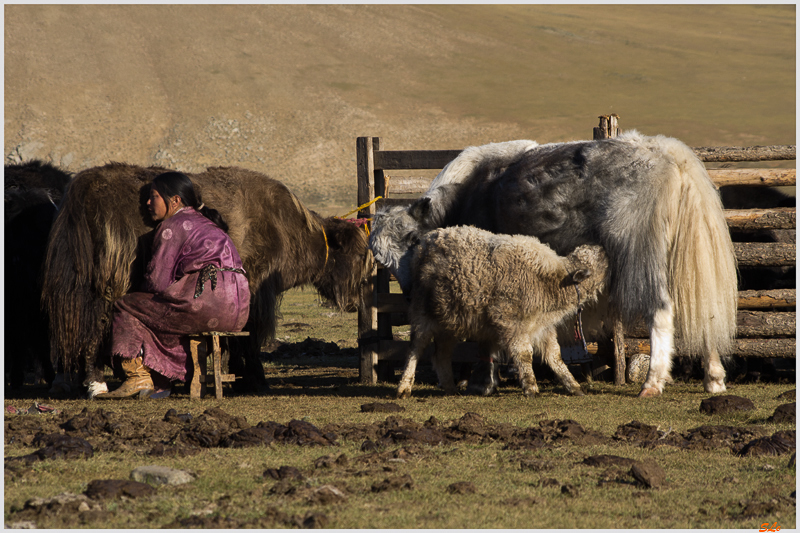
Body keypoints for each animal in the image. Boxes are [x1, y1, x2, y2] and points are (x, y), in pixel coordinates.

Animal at [396, 227, 608, 396]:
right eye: (595, 258)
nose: (604, 249)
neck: (549, 280)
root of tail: (427, 240)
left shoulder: (543, 327)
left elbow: (555, 356)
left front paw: (573, 386)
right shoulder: (511, 323)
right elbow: (525, 354)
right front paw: (531, 387)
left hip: (450, 322)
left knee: (441, 355)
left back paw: (449, 388)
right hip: (422, 315)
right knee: (415, 349)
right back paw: (404, 387)